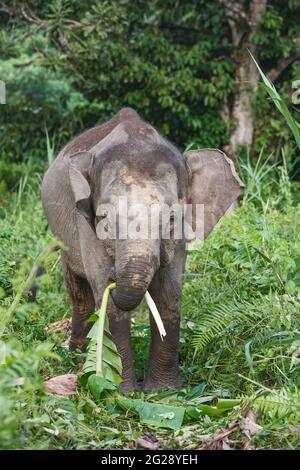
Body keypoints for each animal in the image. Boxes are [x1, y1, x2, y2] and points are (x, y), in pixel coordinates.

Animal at [41, 108, 244, 392]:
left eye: (172, 218)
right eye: (104, 218)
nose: (116, 274)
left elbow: (169, 294)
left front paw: (163, 392)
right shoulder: (86, 227)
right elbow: (107, 300)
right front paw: (120, 391)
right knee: (80, 294)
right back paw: (77, 356)